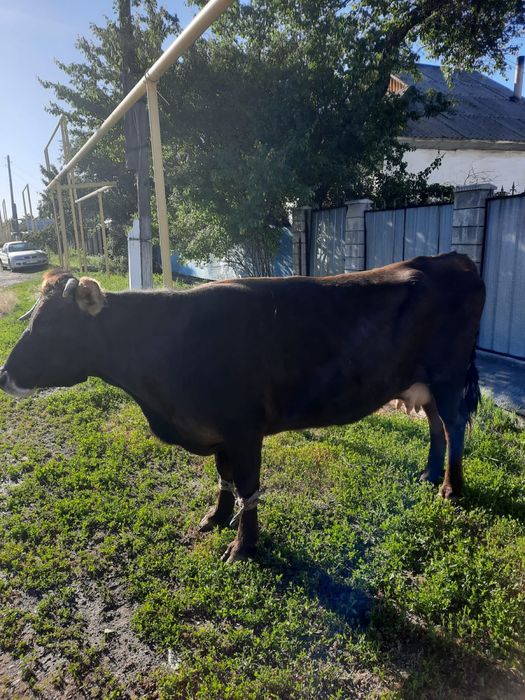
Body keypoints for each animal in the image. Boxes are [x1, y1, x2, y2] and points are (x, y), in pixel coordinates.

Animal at [0, 253, 485, 563]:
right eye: (32, 320)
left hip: (447, 375)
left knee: (455, 424)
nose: (4, 375)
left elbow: (249, 487)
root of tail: (451, 258)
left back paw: (451, 487)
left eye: (52, 328)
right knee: (437, 425)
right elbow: (224, 478)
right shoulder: (216, 433)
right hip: (424, 381)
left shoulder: (244, 429)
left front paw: (243, 547)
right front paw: (215, 517)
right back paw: (429, 473)